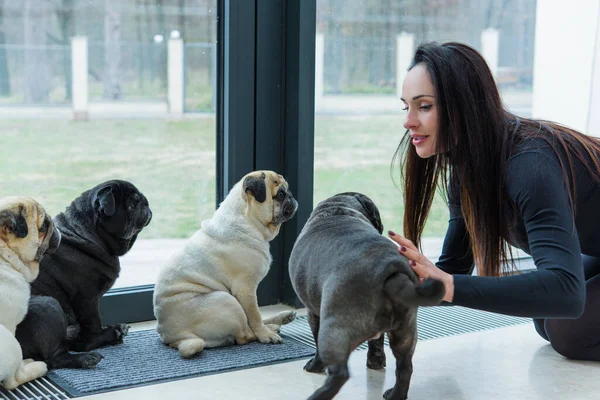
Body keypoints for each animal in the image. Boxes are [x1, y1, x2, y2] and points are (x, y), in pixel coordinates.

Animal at [0, 197, 60, 390]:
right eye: (43, 226)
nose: (54, 224)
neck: (4, 255)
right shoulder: (11, 324)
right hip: (9, 340)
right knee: (12, 380)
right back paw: (36, 366)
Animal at [15, 180, 152, 370]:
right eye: (132, 204)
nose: (146, 204)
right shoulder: (87, 298)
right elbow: (93, 323)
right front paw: (100, 336)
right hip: (48, 305)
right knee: (56, 358)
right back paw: (91, 353)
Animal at [152, 170, 298, 358]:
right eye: (280, 194)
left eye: (287, 190)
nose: (291, 196)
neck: (247, 221)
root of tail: (172, 336)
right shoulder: (245, 290)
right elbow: (255, 316)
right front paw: (265, 335)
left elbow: (255, 315)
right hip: (227, 299)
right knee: (245, 334)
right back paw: (269, 330)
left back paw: (280, 320)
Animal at [290, 192, 446, 398]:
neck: (339, 209)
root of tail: (391, 272)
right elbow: (377, 343)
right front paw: (376, 361)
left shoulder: (313, 314)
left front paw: (315, 364)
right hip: (406, 333)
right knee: (405, 367)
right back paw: (395, 394)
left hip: (334, 329)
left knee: (339, 374)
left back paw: (319, 394)